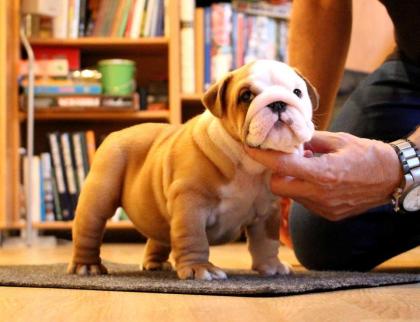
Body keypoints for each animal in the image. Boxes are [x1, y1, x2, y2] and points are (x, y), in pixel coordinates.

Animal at [67, 59, 316, 280]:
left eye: (297, 92)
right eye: (246, 96)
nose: (278, 103)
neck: (248, 165)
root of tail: (116, 133)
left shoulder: (268, 211)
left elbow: (266, 242)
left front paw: (272, 266)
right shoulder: (191, 202)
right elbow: (194, 237)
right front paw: (199, 268)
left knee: (160, 234)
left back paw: (155, 264)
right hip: (100, 193)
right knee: (89, 229)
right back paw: (86, 265)